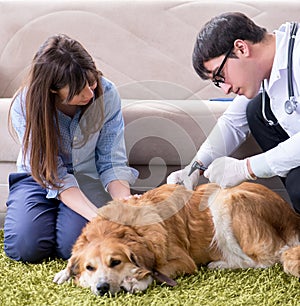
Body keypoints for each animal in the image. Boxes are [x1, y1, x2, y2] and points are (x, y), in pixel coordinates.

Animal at [53, 183, 300, 296]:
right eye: (89, 267)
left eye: (115, 262)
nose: (102, 288)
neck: (129, 228)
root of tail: (291, 215)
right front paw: (64, 272)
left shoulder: (184, 262)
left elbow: (158, 270)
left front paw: (137, 280)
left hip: (225, 198)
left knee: (265, 259)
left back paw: (219, 264)